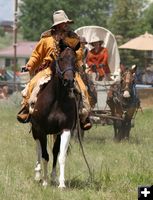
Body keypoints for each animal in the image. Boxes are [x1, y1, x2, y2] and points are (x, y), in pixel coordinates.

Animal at [30, 45, 79, 188]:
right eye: (61, 58)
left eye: (75, 60)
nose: (69, 81)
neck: (57, 99)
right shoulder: (41, 130)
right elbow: (45, 155)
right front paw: (45, 181)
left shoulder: (65, 130)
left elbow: (61, 155)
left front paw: (61, 183)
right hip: (35, 130)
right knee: (38, 148)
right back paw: (38, 174)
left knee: (55, 151)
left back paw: (53, 176)